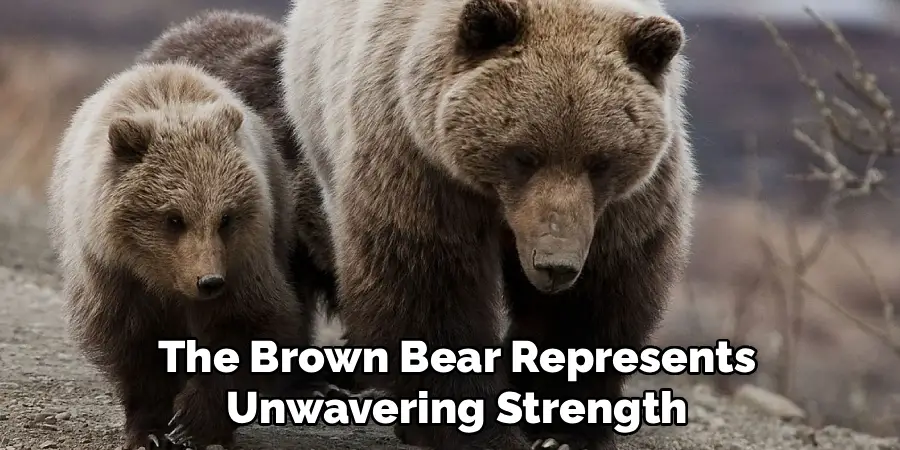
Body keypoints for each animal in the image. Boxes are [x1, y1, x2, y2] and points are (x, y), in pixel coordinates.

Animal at [46, 61, 311, 449]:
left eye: (225, 217)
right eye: (173, 218)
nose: (209, 281)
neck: (164, 280)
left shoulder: (243, 264)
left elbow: (247, 327)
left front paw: (194, 423)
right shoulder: (115, 276)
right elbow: (136, 350)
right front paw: (151, 430)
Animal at [281, 0, 697, 449]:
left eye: (601, 161)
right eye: (524, 155)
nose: (555, 265)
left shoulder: (622, 207)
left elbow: (598, 296)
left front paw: (560, 430)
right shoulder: (418, 161)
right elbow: (429, 287)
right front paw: (479, 429)